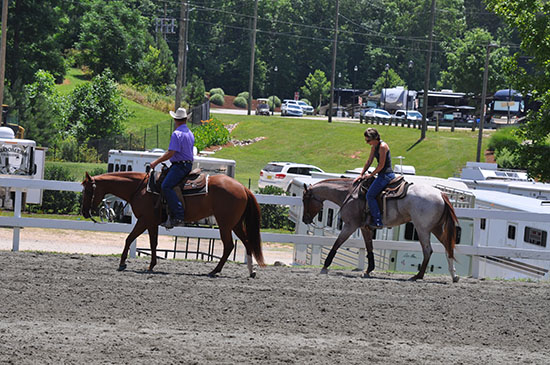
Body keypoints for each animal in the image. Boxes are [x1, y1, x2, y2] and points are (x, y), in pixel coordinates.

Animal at [80, 171, 268, 276]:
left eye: (88, 190)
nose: (84, 212)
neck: (141, 188)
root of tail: (243, 187)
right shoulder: (151, 223)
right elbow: (153, 243)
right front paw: (151, 265)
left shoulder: (144, 220)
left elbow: (129, 238)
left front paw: (122, 263)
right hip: (235, 224)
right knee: (247, 243)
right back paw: (251, 272)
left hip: (225, 225)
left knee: (229, 246)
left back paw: (214, 271)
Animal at [302, 176, 462, 282]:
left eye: (305, 200)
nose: (305, 219)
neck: (349, 194)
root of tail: (440, 194)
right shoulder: (365, 227)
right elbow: (369, 248)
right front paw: (368, 270)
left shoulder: (350, 225)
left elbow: (337, 244)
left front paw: (325, 267)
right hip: (435, 228)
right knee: (448, 248)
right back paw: (454, 276)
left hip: (422, 229)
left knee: (428, 250)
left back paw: (418, 276)